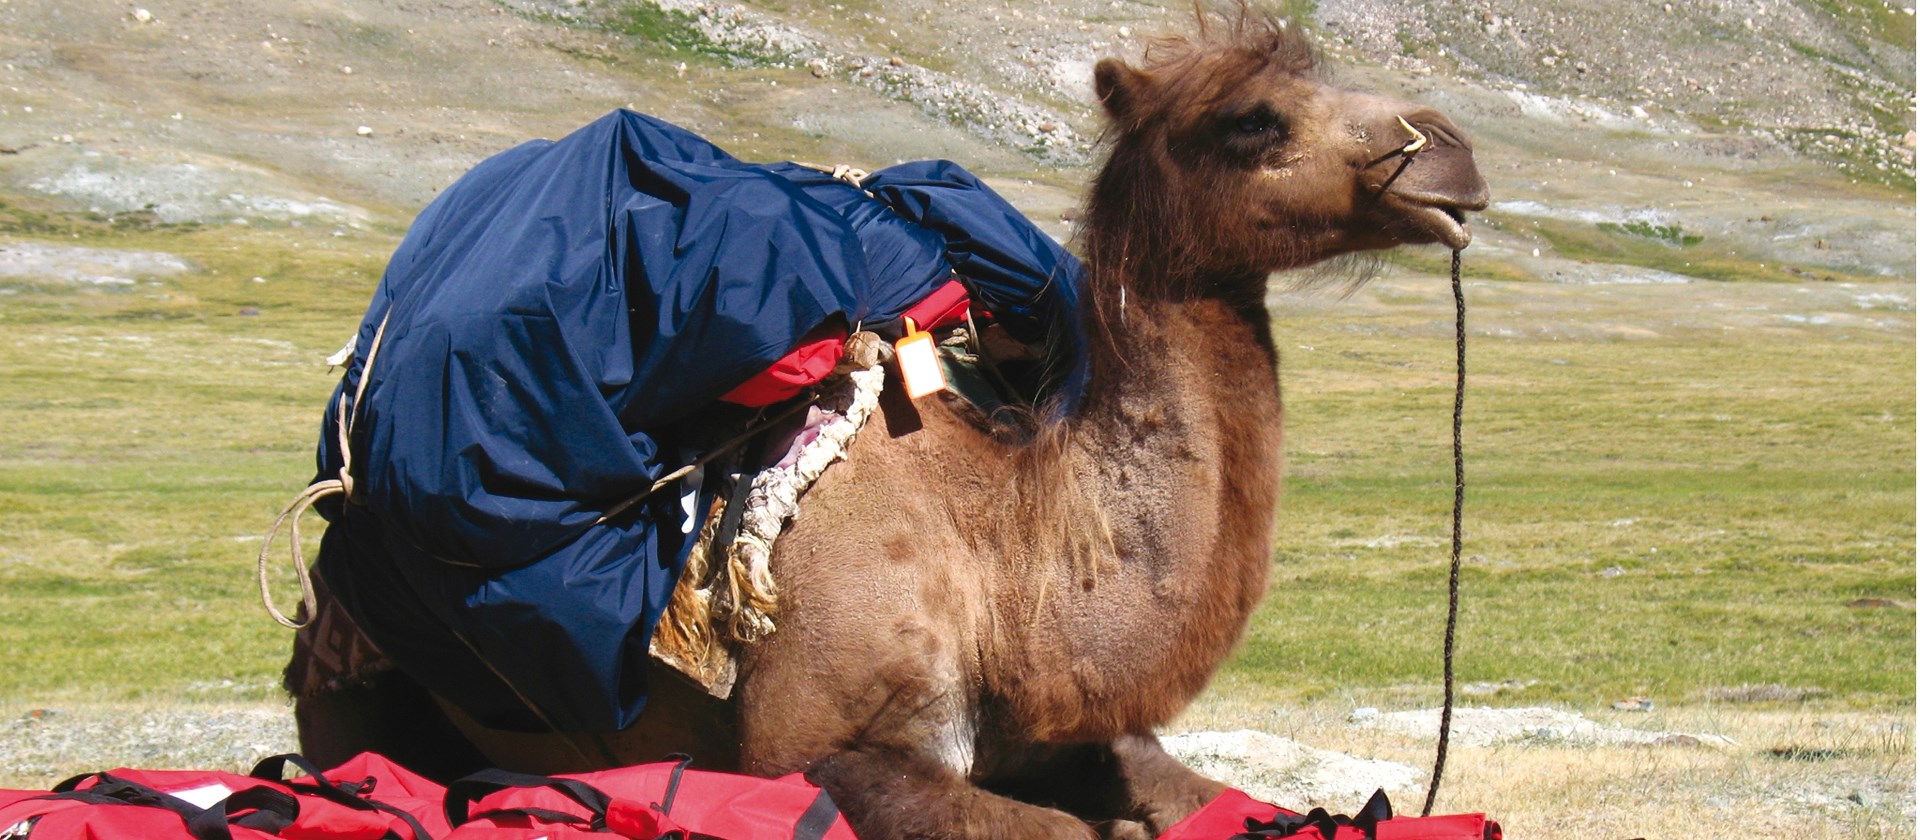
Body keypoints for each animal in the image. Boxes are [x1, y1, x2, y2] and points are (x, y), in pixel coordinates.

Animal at [289, 6, 1488, 839]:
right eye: (1252, 120)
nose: (1452, 151)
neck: (1005, 562)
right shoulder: (817, 752)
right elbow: (1061, 830)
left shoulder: (1086, 729)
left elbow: (1201, 797)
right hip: (349, 686)